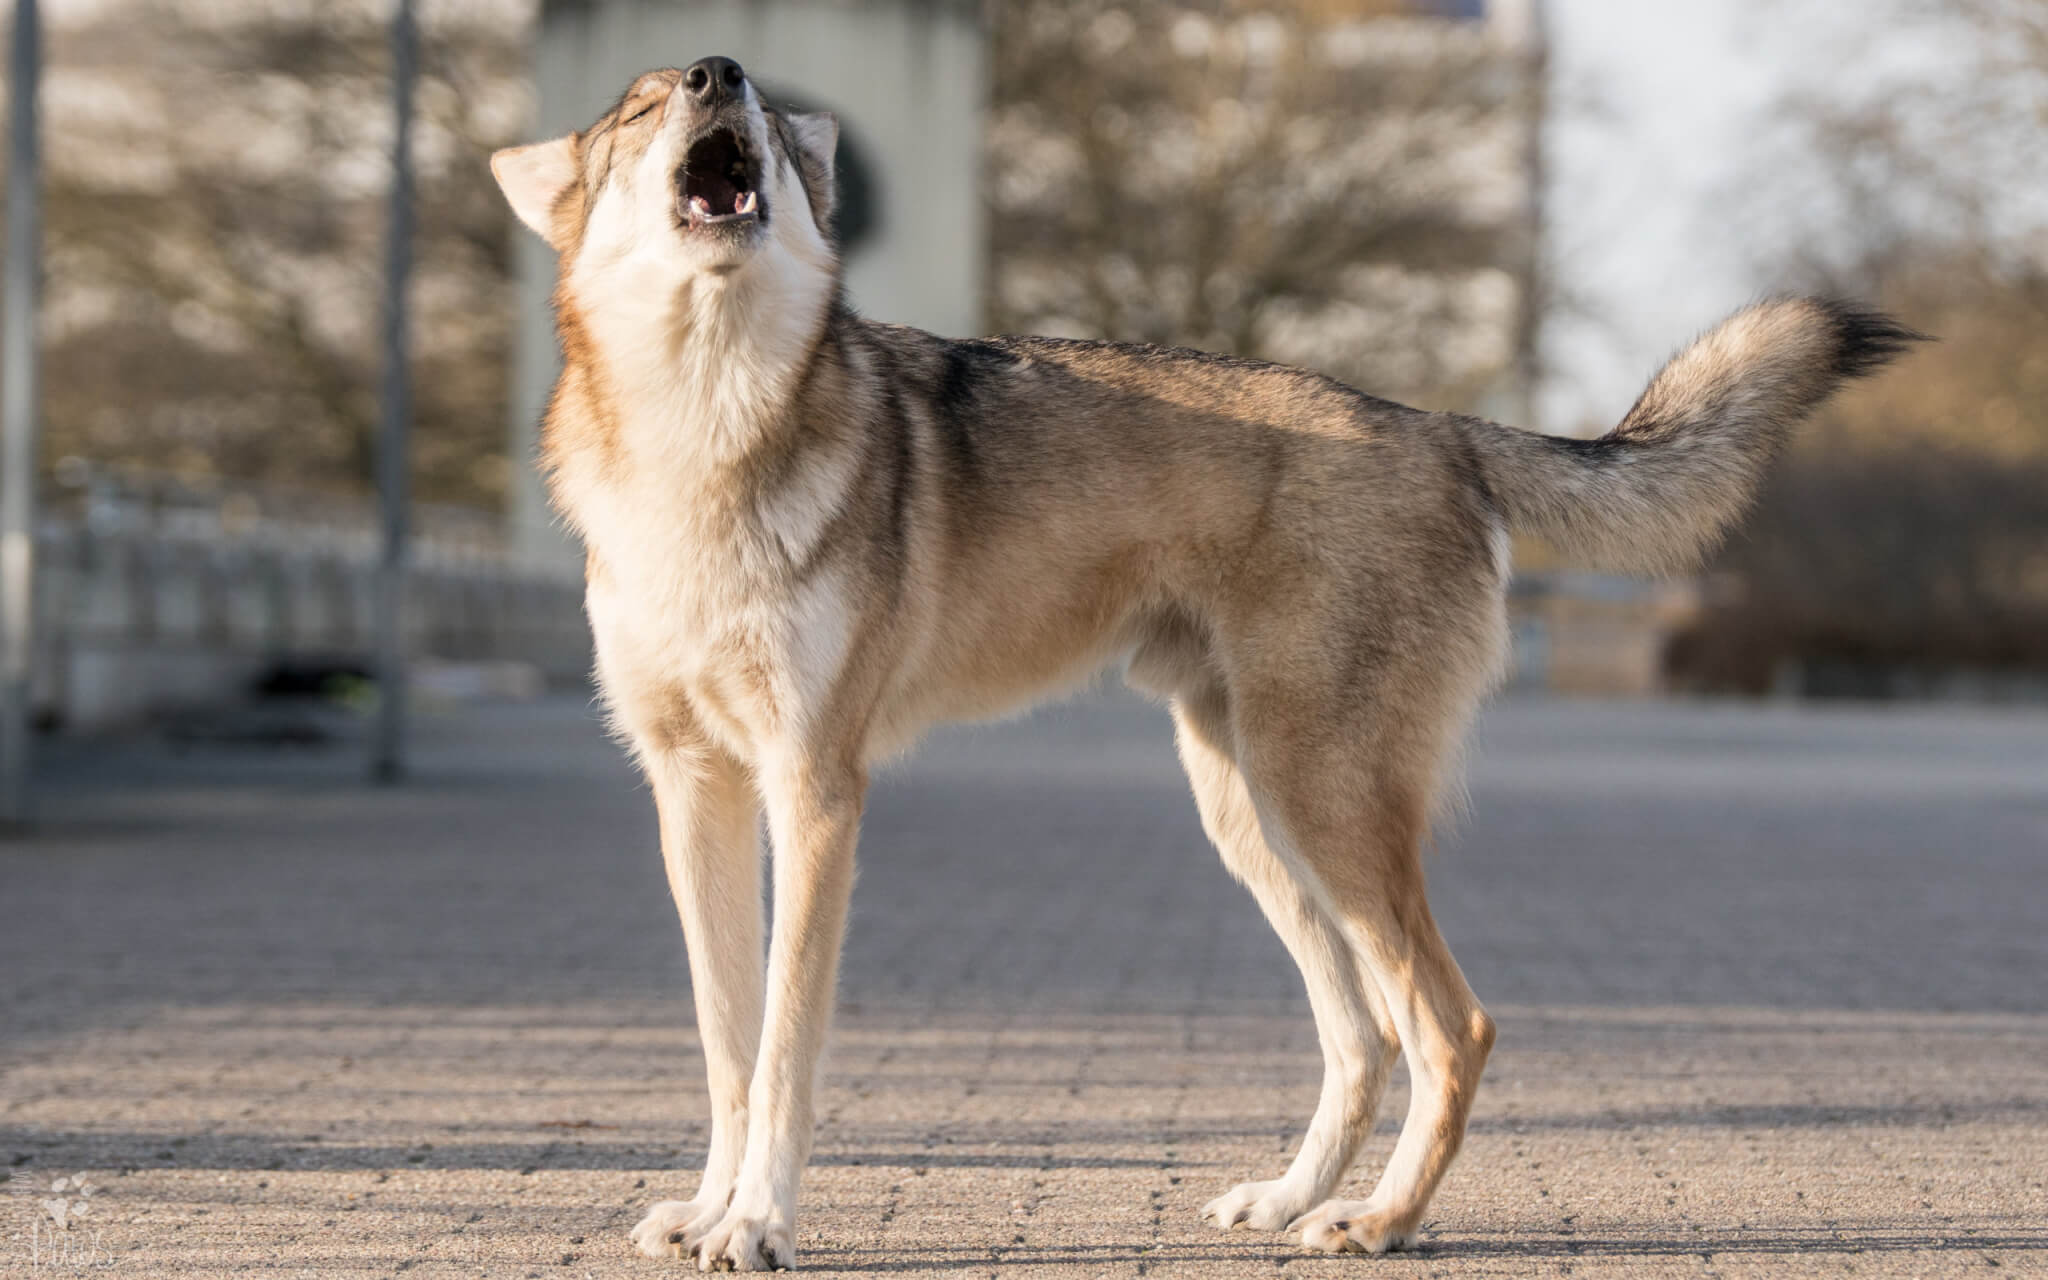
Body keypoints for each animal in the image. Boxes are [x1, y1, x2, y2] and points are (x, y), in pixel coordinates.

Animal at [491, 57, 1916, 1269]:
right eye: (640, 108)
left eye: (764, 126)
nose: (719, 71)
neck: (701, 430)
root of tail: (1441, 428)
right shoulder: (694, 794)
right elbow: (728, 1045)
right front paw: (709, 1208)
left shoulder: (816, 793)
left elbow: (786, 1045)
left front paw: (760, 1222)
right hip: (1251, 815)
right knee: (1363, 1035)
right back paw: (1291, 1198)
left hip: (1317, 805)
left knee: (1447, 1026)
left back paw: (1375, 1222)